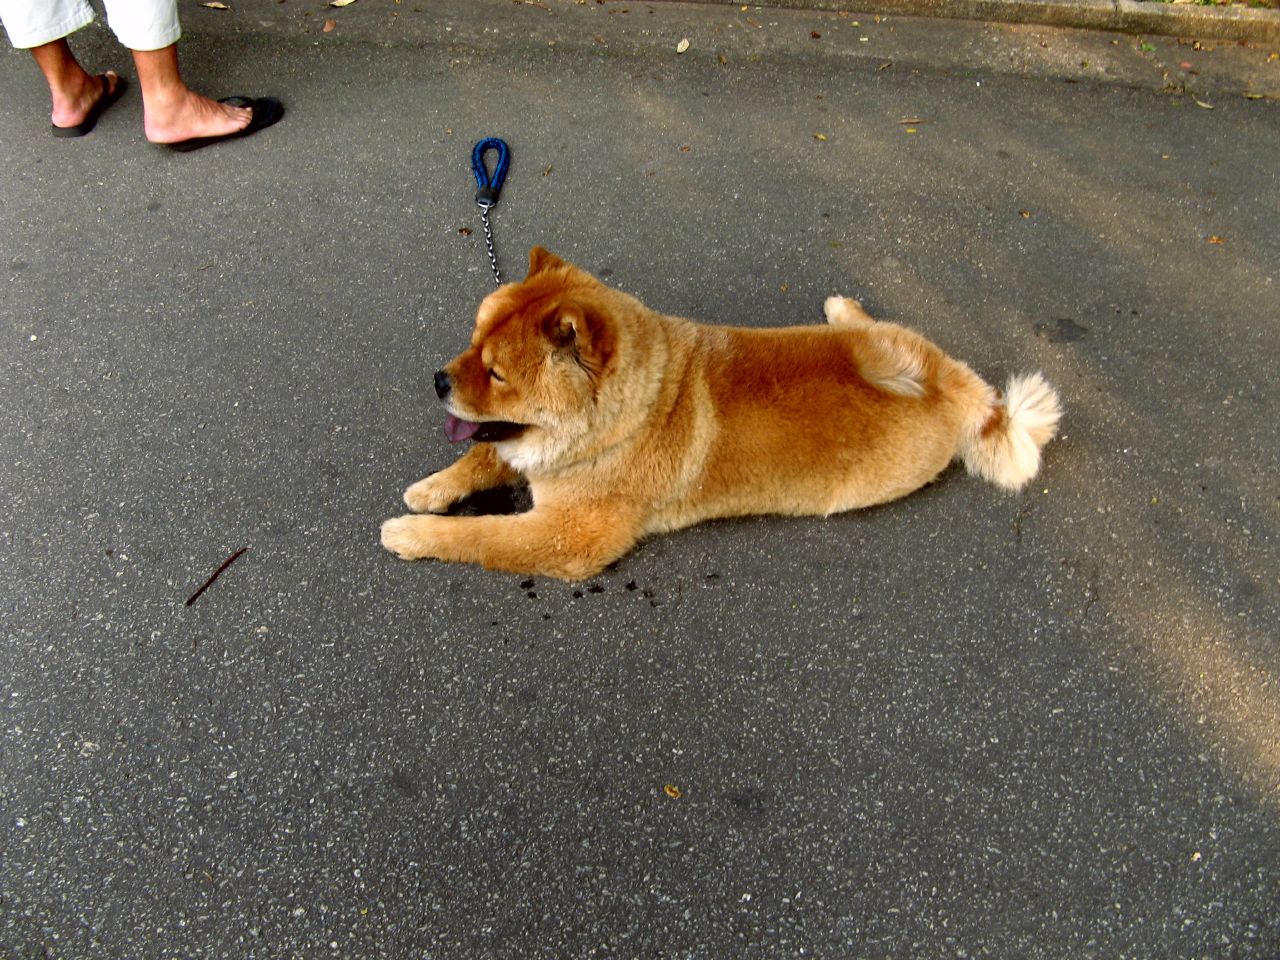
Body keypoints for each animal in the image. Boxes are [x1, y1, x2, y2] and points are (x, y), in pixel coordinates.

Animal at [378, 248, 1059, 578]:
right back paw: (842, 309)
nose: (439, 379)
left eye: (496, 374)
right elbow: (483, 453)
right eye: (473, 341)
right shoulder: (531, 454)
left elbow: (483, 537)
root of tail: (950, 389)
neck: (627, 419)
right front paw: (431, 489)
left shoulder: (570, 536)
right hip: (893, 343)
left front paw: (412, 534)